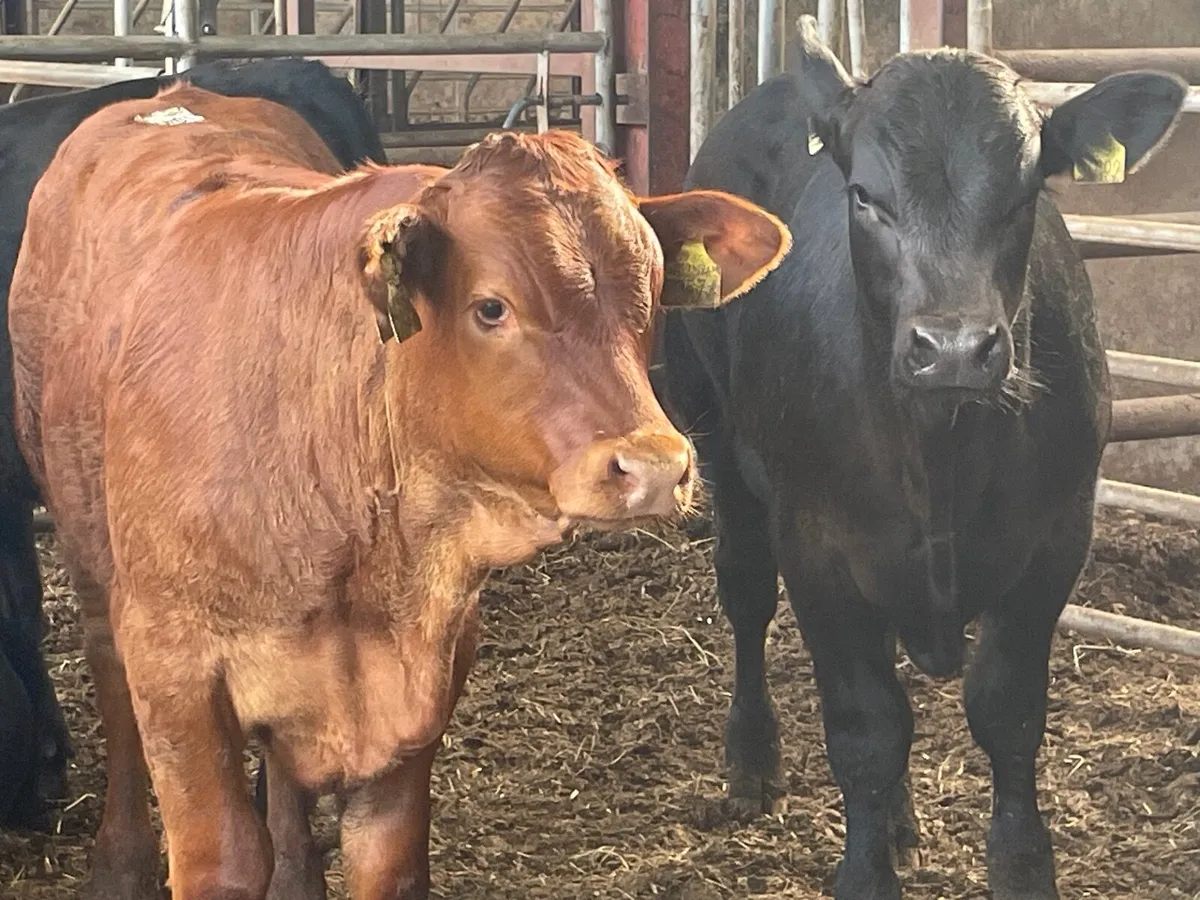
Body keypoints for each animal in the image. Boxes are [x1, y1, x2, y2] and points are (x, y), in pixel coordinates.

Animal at [659, 17, 1186, 900]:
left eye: (1025, 195)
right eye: (865, 197)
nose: (955, 349)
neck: (940, 454)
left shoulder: (1057, 537)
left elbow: (1006, 711)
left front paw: (1020, 868)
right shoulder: (817, 547)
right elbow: (866, 727)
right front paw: (864, 873)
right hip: (713, 428)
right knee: (745, 592)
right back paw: (753, 762)